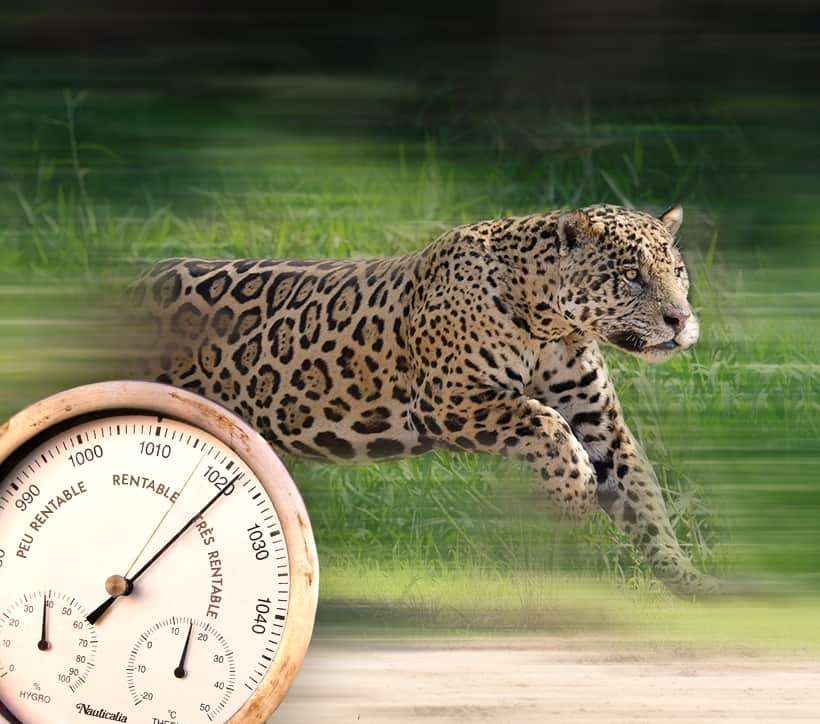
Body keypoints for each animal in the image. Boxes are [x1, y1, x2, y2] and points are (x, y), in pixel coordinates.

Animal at [131, 203, 717, 596]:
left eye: (677, 272)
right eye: (631, 276)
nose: (680, 320)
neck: (552, 326)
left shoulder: (601, 424)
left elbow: (646, 502)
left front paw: (691, 582)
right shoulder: (447, 399)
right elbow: (545, 421)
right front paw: (573, 499)